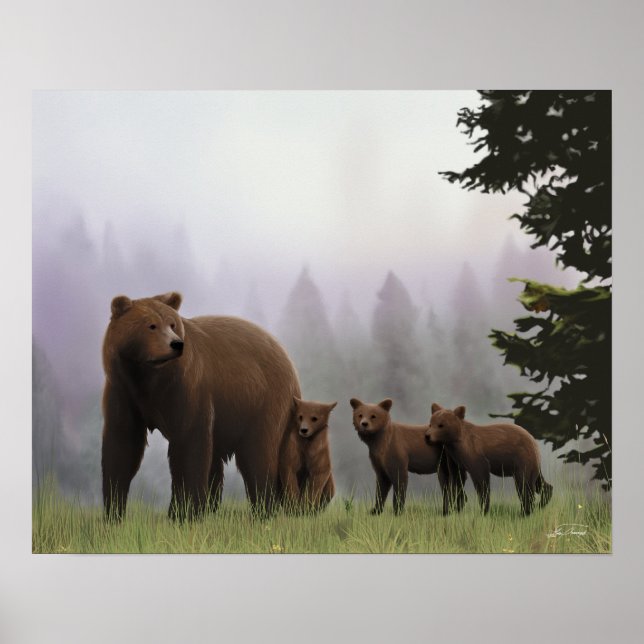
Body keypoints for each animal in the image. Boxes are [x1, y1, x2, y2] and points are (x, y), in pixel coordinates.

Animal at [101, 292, 301, 521]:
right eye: (151, 325)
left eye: (172, 324)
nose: (176, 344)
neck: (148, 377)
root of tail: (287, 359)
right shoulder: (123, 392)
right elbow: (122, 445)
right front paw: (113, 511)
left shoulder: (187, 388)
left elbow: (189, 445)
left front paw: (182, 512)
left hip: (262, 402)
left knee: (259, 455)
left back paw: (262, 510)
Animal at [425, 403, 553, 516]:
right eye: (430, 423)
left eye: (441, 425)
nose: (427, 436)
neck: (455, 443)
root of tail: (533, 440)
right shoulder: (454, 459)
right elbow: (456, 479)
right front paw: (453, 507)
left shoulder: (475, 455)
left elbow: (481, 479)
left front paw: (483, 510)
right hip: (532, 463)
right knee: (537, 481)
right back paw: (543, 501)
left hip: (522, 459)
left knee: (524, 484)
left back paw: (524, 512)